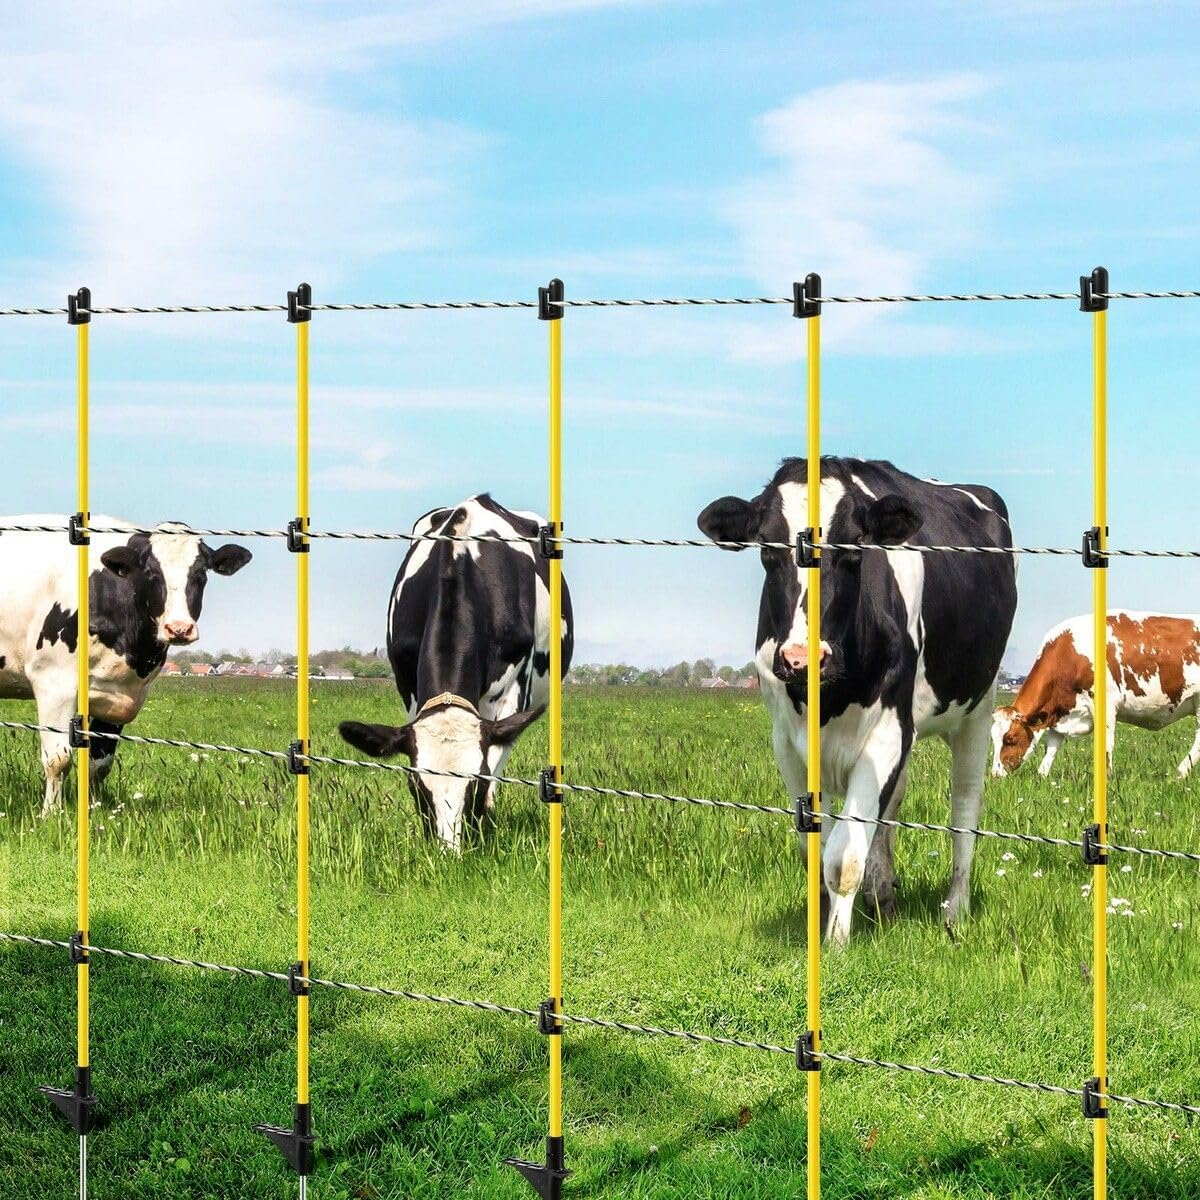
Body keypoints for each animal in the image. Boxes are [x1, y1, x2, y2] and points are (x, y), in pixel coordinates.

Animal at [0, 516, 252, 816]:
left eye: (200, 574)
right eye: (152, 574)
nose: (179, 628)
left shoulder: (117, 694)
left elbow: (100, 763)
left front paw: (96, 809)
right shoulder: (53, 682)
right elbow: (58, 759)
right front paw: (50, 815)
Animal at [338, 495, 573, 850]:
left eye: (475, 785)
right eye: (415, 787)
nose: (448, 852)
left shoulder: (513, 690)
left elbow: (495, 763)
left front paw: (482, 828)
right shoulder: (408, 687)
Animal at [698, 457, 1017, 945]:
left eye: (853, 552)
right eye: (767, 551)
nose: (800, 658)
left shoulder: (887, 732)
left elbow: (843, 855)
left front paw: (836, 942)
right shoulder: (787, 744)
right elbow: (816, 846)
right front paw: (826, 919)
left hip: (977, 709)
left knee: (965, 805)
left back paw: (955, 911)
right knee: (893, 804)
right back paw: (882, 896)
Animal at [992, 612, 1200, 779]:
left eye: (1010, 739)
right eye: (993, 738)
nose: (995, 775)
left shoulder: (1106, 705)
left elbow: (1106, 745)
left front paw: (1106, 778)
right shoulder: (1061, 711)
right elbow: (1051, 747)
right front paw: (1042, 777)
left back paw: (1180, 773)